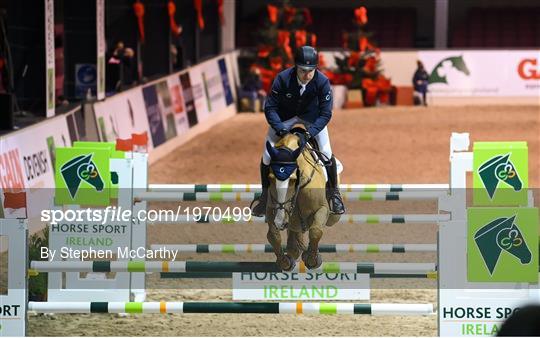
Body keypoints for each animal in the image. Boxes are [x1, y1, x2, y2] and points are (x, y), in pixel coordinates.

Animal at [264, 129, 340, 272]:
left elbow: (315, 231)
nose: (280, 222)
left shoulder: (322, 209)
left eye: (293, 180)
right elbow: (273, 235)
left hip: (333, 218)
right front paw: (285, 262)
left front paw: (312, 259)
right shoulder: (272, 210)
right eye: (270, 178)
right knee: (294, 236)